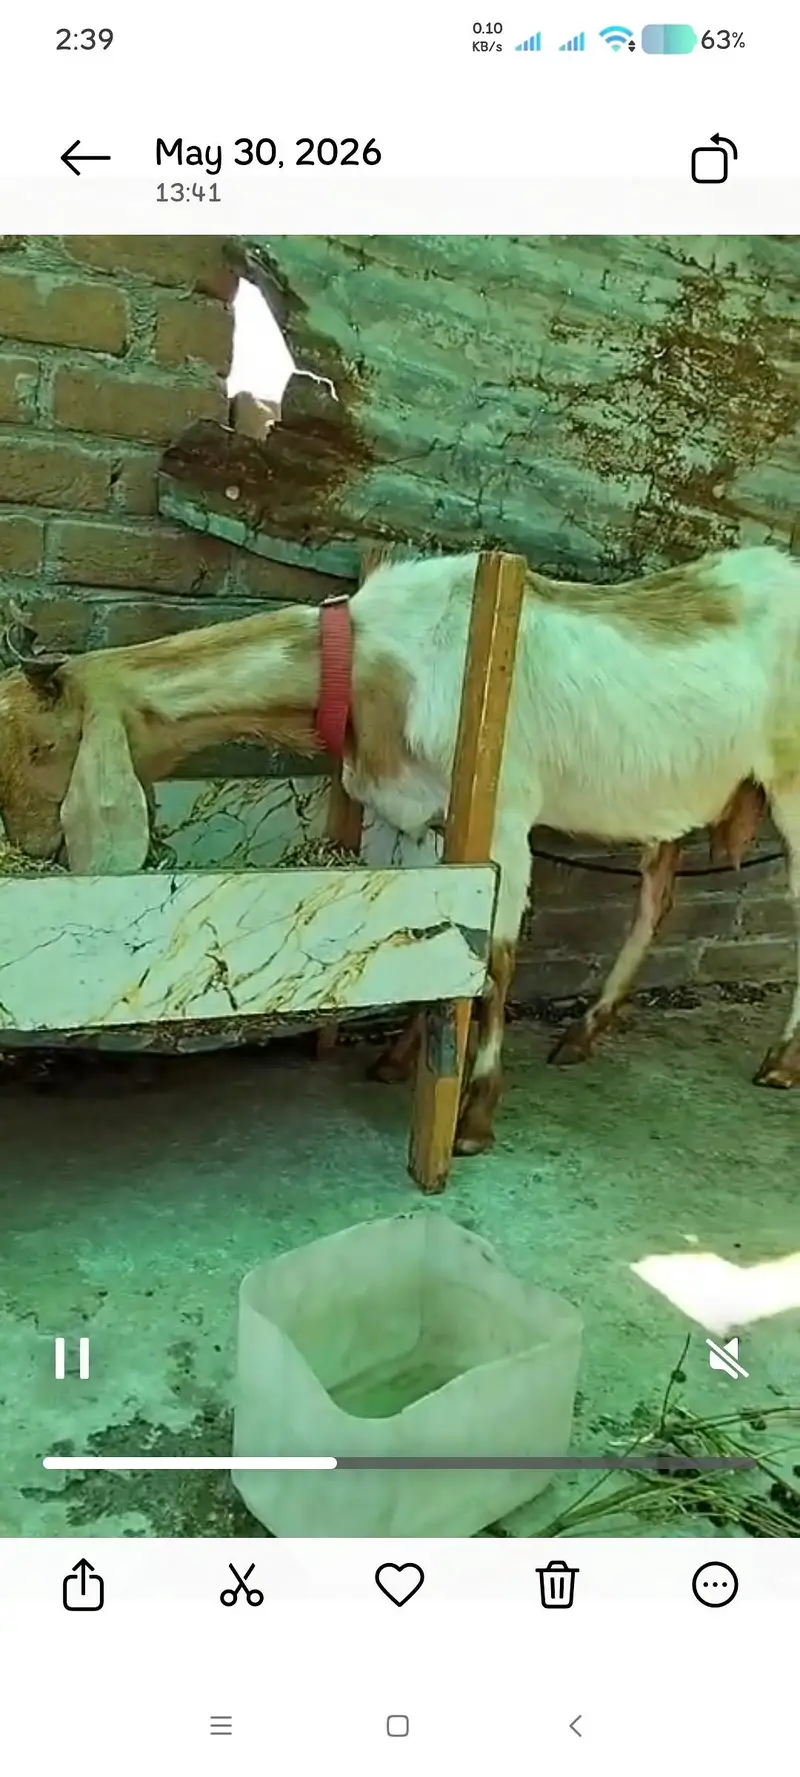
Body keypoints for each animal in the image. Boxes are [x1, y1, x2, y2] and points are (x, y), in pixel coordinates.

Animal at [0, 545, 796, 1155]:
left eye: (43, 746)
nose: (32, 843)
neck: (376, 664)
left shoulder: (505, 818)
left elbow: (494, 961)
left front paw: (474, 1116)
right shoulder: (424, 817)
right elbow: (438, 936)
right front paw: (399, 1056)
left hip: (792, 784)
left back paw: (779, 1063)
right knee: (657, 894)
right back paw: (583, 1034)